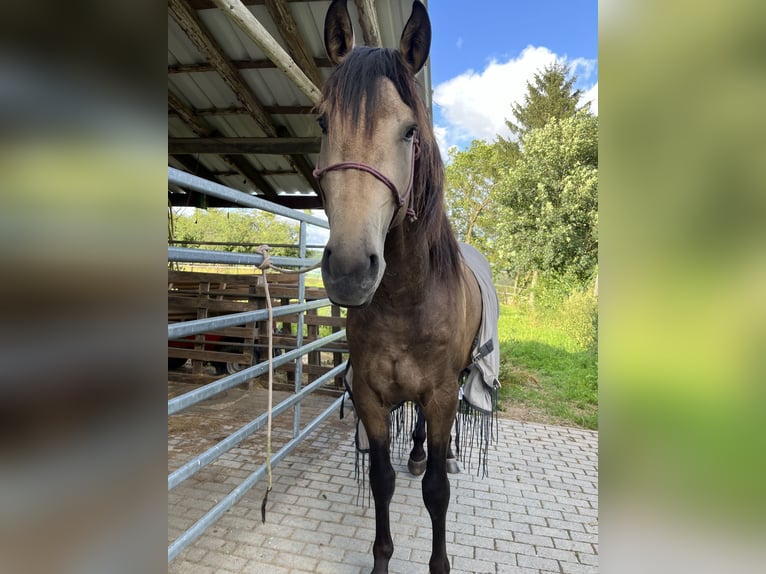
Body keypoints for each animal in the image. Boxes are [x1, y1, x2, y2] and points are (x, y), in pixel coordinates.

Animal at [316, 2, 496, 572]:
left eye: (411, 131)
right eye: (323, 120)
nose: (350, 269)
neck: (405, 301)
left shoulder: (440, 395)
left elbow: (437, 491)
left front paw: (439, 564)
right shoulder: (371, 396)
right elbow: (382, 480)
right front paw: (381, 559)